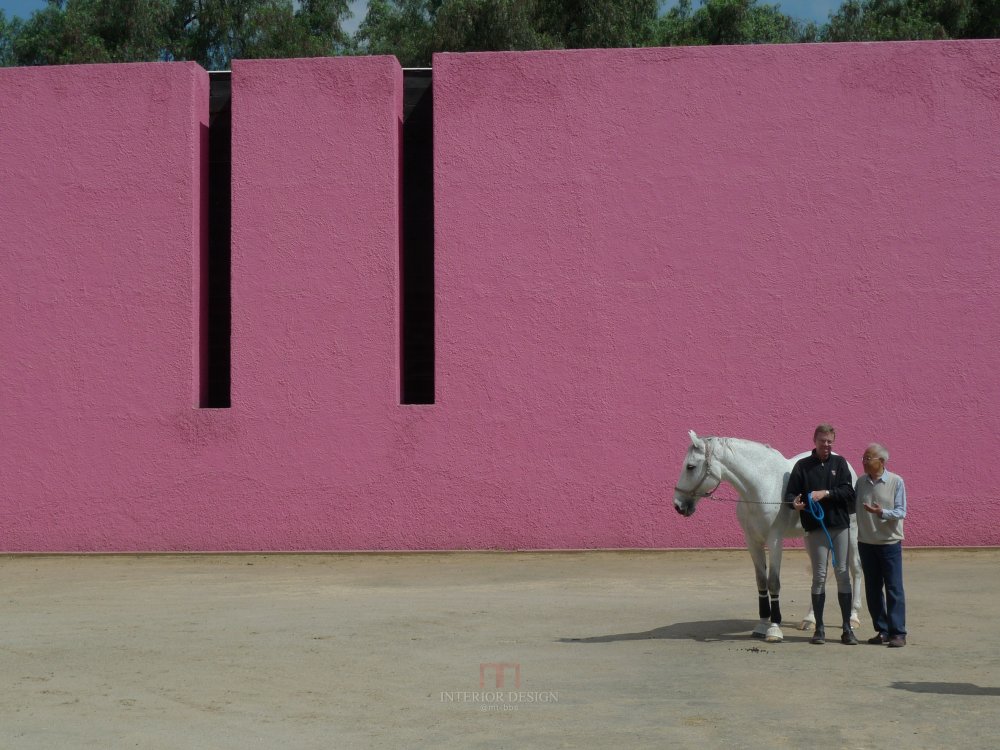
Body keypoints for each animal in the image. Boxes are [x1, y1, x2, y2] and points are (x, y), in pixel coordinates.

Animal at [676, 432, 864, 644]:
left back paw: (853, 617)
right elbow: (761, 581)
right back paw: (809, 619)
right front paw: (762, 624)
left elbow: (773, 581)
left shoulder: (774, 541)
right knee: (819, 574)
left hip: (851, 532)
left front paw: (774, 628)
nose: (678, 505)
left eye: (690, 466)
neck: (761, 485)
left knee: (855, 568)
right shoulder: (752, 541)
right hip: (811, 538)